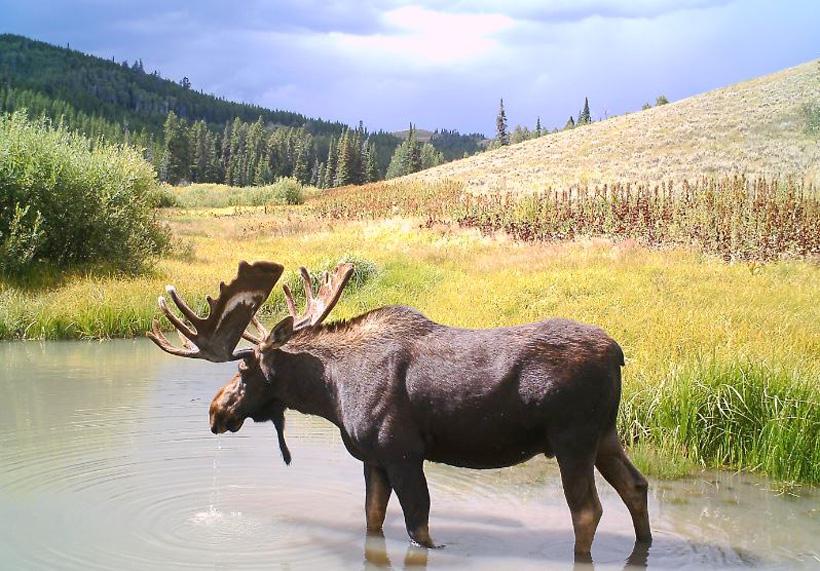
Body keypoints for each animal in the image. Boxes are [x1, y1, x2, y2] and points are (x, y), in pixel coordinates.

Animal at [147, 260, 652, 557]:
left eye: (244, 368)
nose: (215, 412)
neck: (331, 391)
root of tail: (619, 353)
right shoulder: (373, 458)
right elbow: (373, 520)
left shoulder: (403, 453)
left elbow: (418, 527)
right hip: (606, 436)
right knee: (637, 487)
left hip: (572, 439)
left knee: (587, 511)